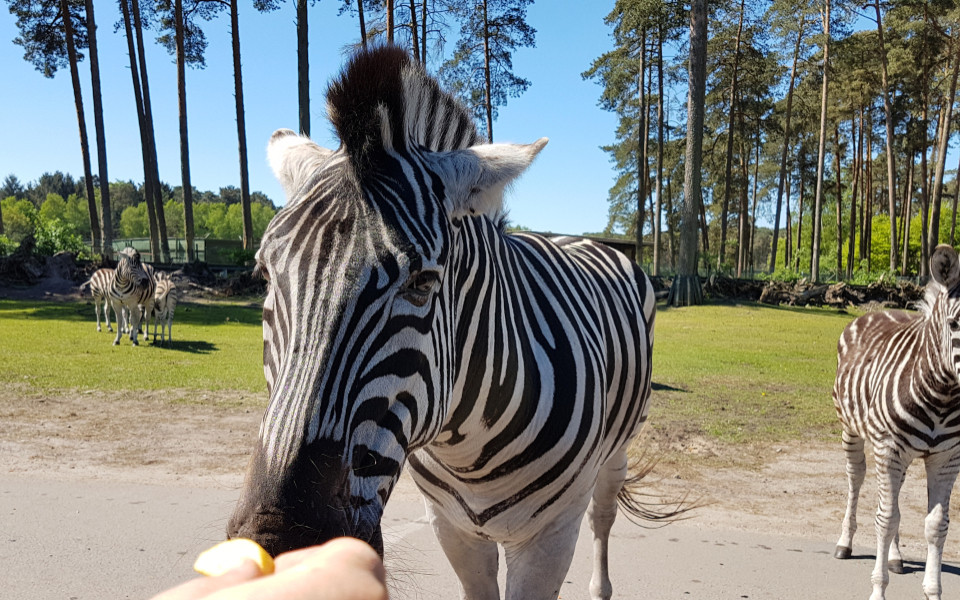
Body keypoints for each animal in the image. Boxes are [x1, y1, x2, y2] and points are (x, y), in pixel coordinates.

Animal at [227, 46, 670, 600]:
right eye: (265, 275)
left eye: (422, 283)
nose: (282, 546)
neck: (469, 445)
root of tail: (578, 238)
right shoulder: (452, 528)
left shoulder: (549, 537)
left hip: (617, 450)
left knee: (603, 518)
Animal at [832, 243, 960, 600]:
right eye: (954, 324)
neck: (942, 396)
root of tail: (879, 310)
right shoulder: (889, 449)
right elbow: (886, 519)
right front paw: (878, 591)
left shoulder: (947, 458)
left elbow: (936, 525)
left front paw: (933, 592)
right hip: (852, 430)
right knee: (856, 479)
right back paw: (845, 543)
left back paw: (895, 556)